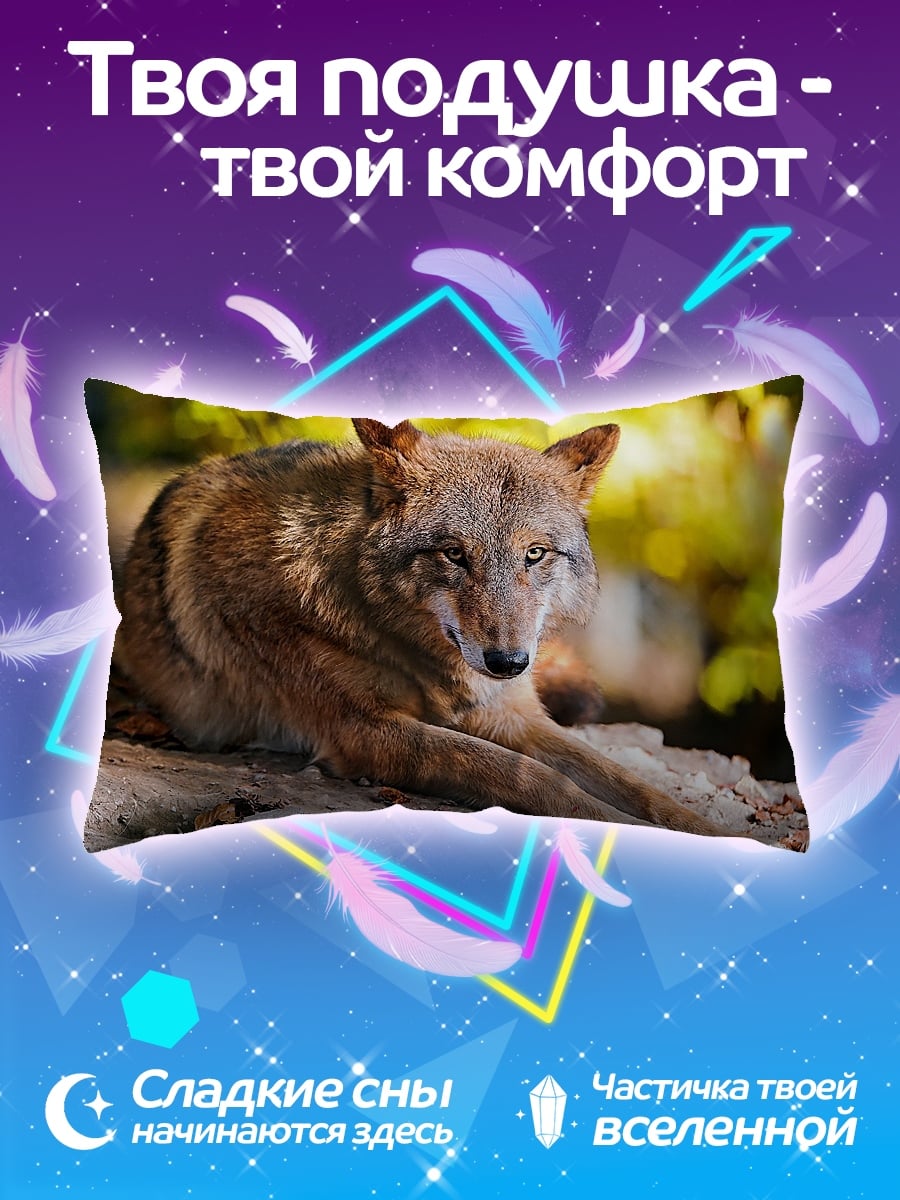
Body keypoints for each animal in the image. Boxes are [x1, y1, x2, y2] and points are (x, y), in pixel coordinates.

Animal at [117, 418, 729, 836]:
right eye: (454, 554)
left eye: (533, 554)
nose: (509, 663)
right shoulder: (365, 733)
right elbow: (530, 776)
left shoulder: (512, 714)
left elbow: (635, 784)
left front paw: (708, 831)